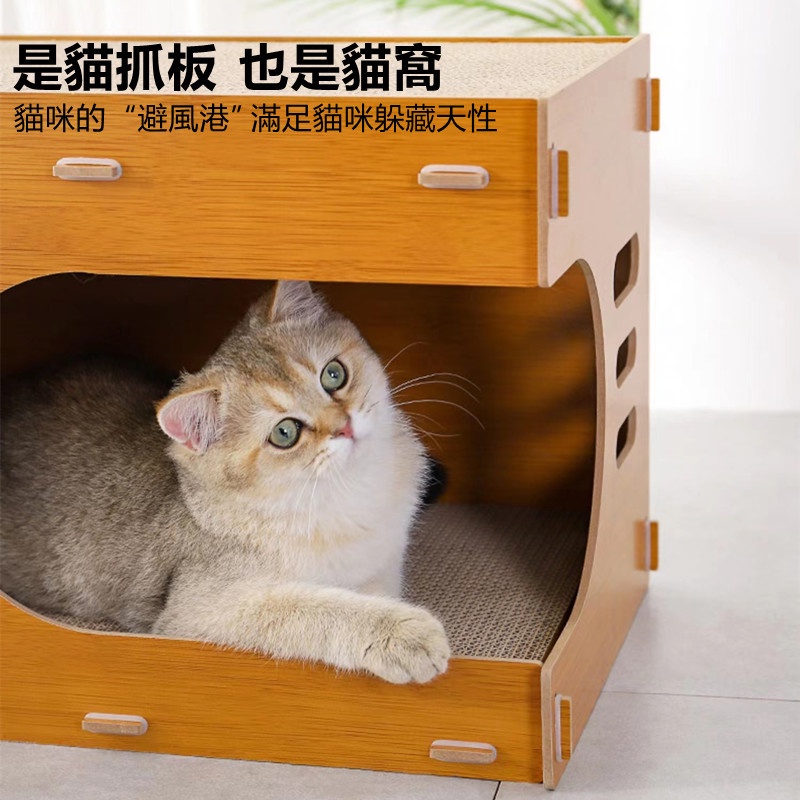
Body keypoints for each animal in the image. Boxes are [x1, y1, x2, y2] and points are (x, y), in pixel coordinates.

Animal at [0, 281, 450, 684]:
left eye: (334, 375)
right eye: (284, 433)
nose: (345, 427)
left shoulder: (383, 565)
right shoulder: (200, 608)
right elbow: (317, 607)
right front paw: (404, 635)